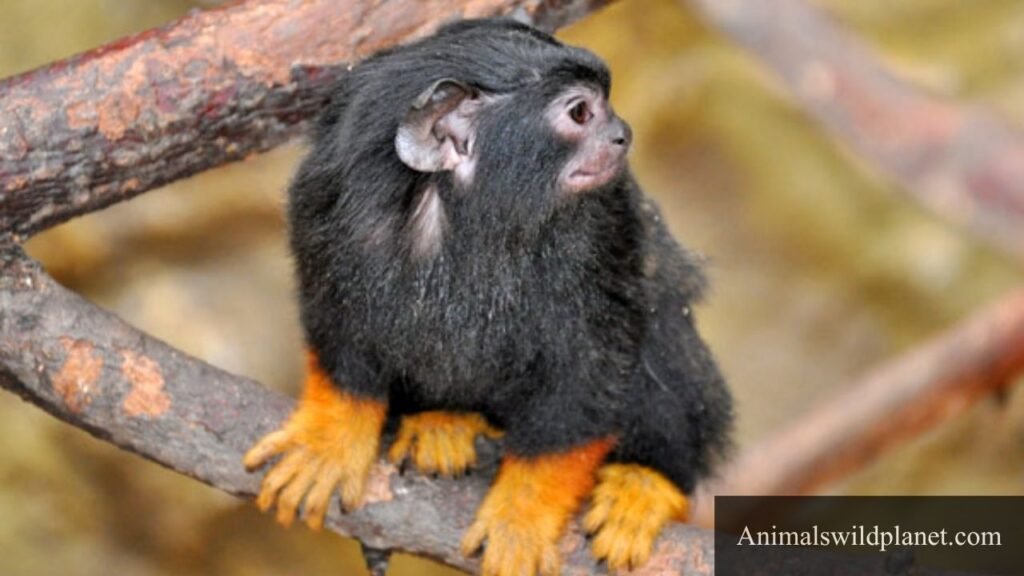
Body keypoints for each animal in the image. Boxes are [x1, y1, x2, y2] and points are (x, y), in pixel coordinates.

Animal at [243, 18, 732, 576]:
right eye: (580, 112)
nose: (621, 133)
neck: (453, 212)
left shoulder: (601, 228)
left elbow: (588, 375)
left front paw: (525, 512)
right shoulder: (324, 203)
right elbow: (339, 335)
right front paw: (332, 436)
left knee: (665, 332)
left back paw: (648, 480)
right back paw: (444, 420)